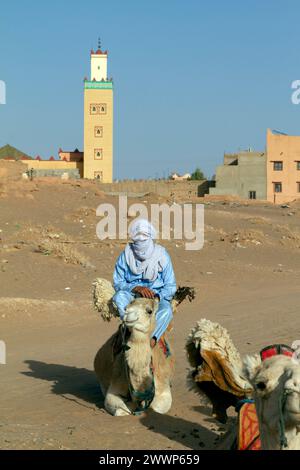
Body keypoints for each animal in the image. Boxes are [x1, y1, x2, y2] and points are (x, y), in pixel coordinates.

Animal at [92, 278, 195, 416]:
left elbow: (155, 408)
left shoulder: (163, 389)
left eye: (149, 310)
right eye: (126, 307)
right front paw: (131, 405)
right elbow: (120, 410)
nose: (128, 315)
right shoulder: (113, 389)